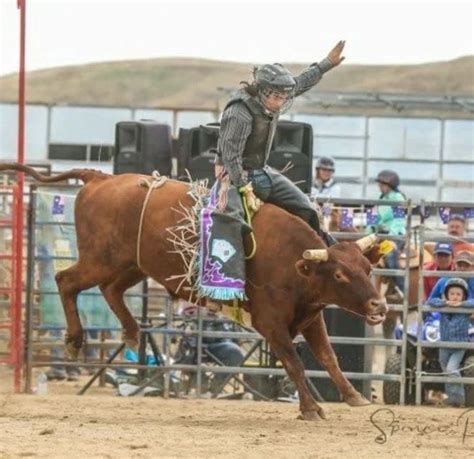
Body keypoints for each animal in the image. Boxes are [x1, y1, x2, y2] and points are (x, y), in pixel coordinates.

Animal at [1, 164, 386, 422]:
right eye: (339, 274)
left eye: (368, 270)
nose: (379, 305)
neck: (292, 260)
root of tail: (102, 178)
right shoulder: (271, 322)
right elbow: (294, 361)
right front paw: (311, 408)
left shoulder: (310, 315)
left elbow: (328, 357)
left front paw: (353, 396)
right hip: (100, 259)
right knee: (66, 280)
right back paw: (75, 340)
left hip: (133, 264)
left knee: (111, 290)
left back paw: (132, 332)